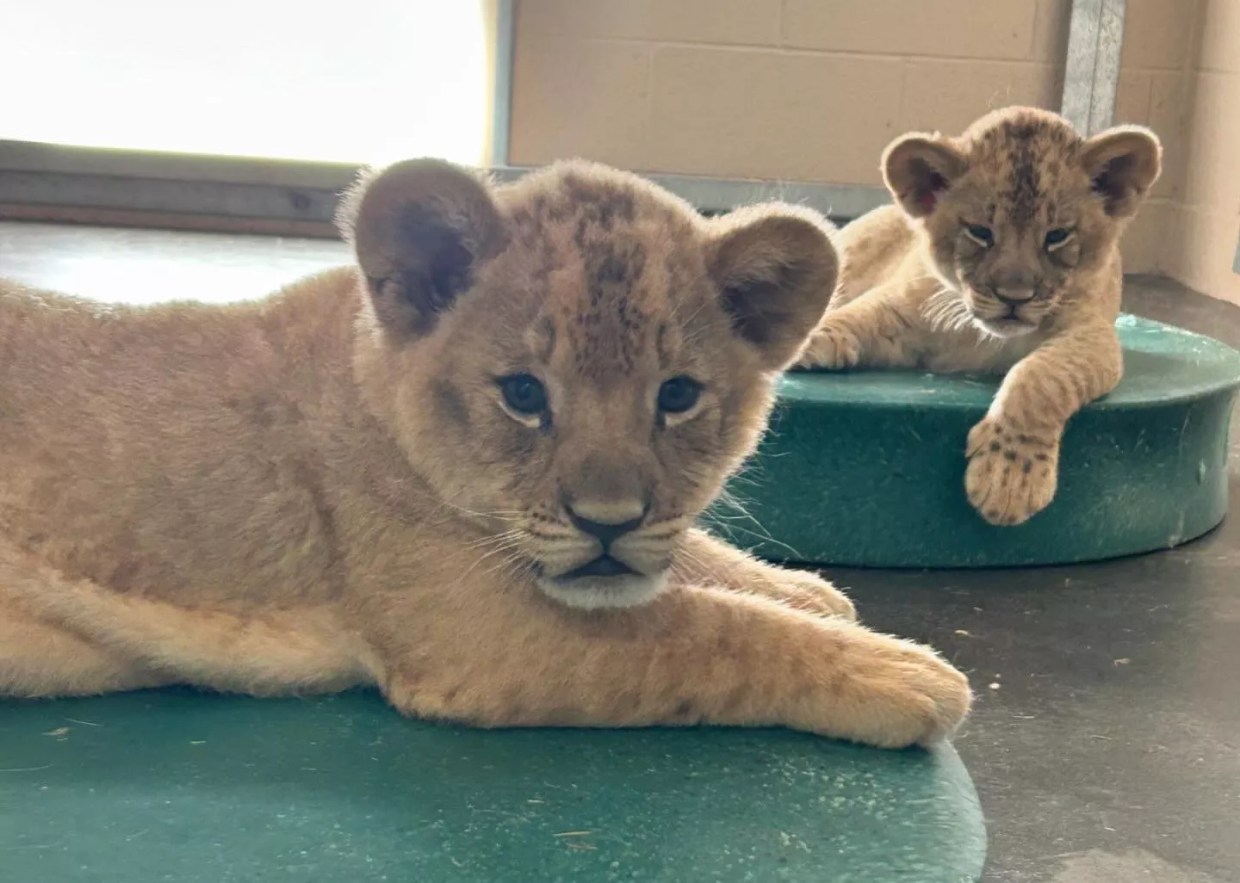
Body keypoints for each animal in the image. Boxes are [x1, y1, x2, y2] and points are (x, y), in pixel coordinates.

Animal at [0, 158, 969, 749]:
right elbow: (703, 629)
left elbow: (693, 565)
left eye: (677, 396)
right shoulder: (478, 631)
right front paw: (899, 670)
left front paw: (807, 591)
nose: (608, 524)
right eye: (525, 394)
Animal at [797, 106, 1161, 526]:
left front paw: (1009, 481)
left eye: (1056, 236)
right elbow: (862, 312)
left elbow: (1039, 377)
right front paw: (812, 337)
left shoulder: (1092, 337)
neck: (981, 337)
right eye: (979, 232)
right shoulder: (903, 309)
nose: (1014, 298)